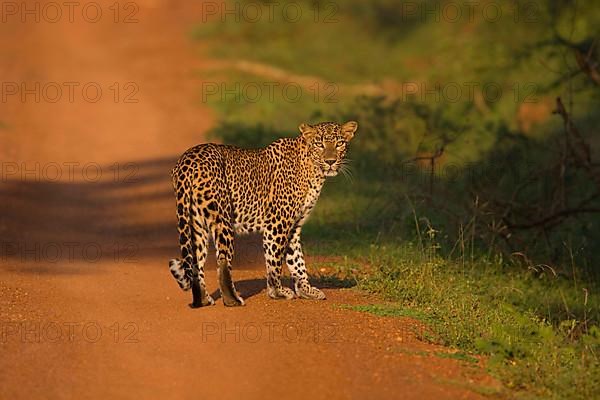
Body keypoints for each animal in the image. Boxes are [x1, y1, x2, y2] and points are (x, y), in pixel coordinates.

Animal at [166, 120, 358, 308]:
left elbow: (297, 260)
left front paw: (306, 290)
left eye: (339, 143)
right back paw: (233, 300)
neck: (313, 171)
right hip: (222, 218)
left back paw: (203, 300)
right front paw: (277, 292)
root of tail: (188, 160)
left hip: (195, 223)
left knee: (196, 263)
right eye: (319, 144)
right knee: (223, 261)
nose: (330, 161)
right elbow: (274, 260)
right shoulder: (277, 223)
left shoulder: (295, 226)